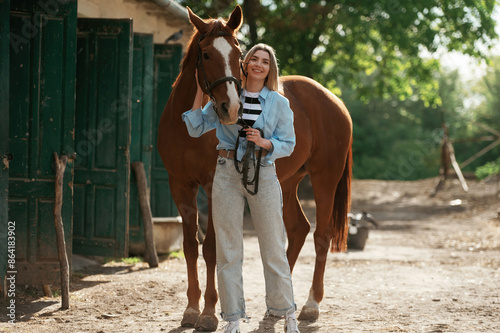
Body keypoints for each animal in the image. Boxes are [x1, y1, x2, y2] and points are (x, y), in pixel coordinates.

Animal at [158, 5, 354, 330]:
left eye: (239, 54)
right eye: (206, 54)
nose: (231, 108)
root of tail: (335, 102)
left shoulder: (212, 186)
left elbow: (211, 248)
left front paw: (208, 313)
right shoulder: (179, 186)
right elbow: (189, 246)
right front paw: (190, 309)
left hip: (325, 178)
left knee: (321, 236)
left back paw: (311, 305)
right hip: (286, 182)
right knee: (298, 229)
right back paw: (277, 307)